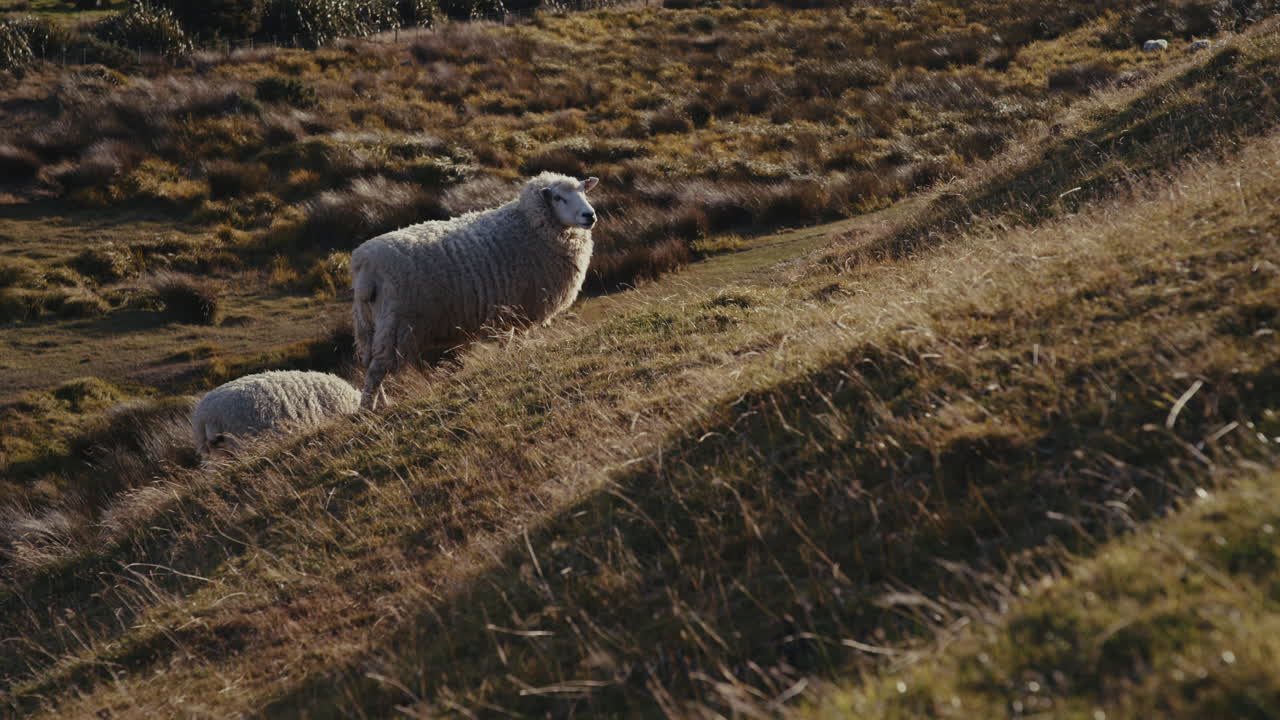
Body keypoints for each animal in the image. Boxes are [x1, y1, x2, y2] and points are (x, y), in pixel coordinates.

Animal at [351, 172, 599, 410]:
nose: (589, 215)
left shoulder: (508, 311)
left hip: (369, 325)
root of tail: (364, 262)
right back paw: (367, 410)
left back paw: (381, 404)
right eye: (558, 198)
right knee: (377, 369)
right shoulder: (521, 306)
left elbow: (507, 341)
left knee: (370, 364)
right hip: (396, 323)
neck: (529, 225)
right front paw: (516, 358)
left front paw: (508, 359)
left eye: (583, 191)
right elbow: (516, 340)